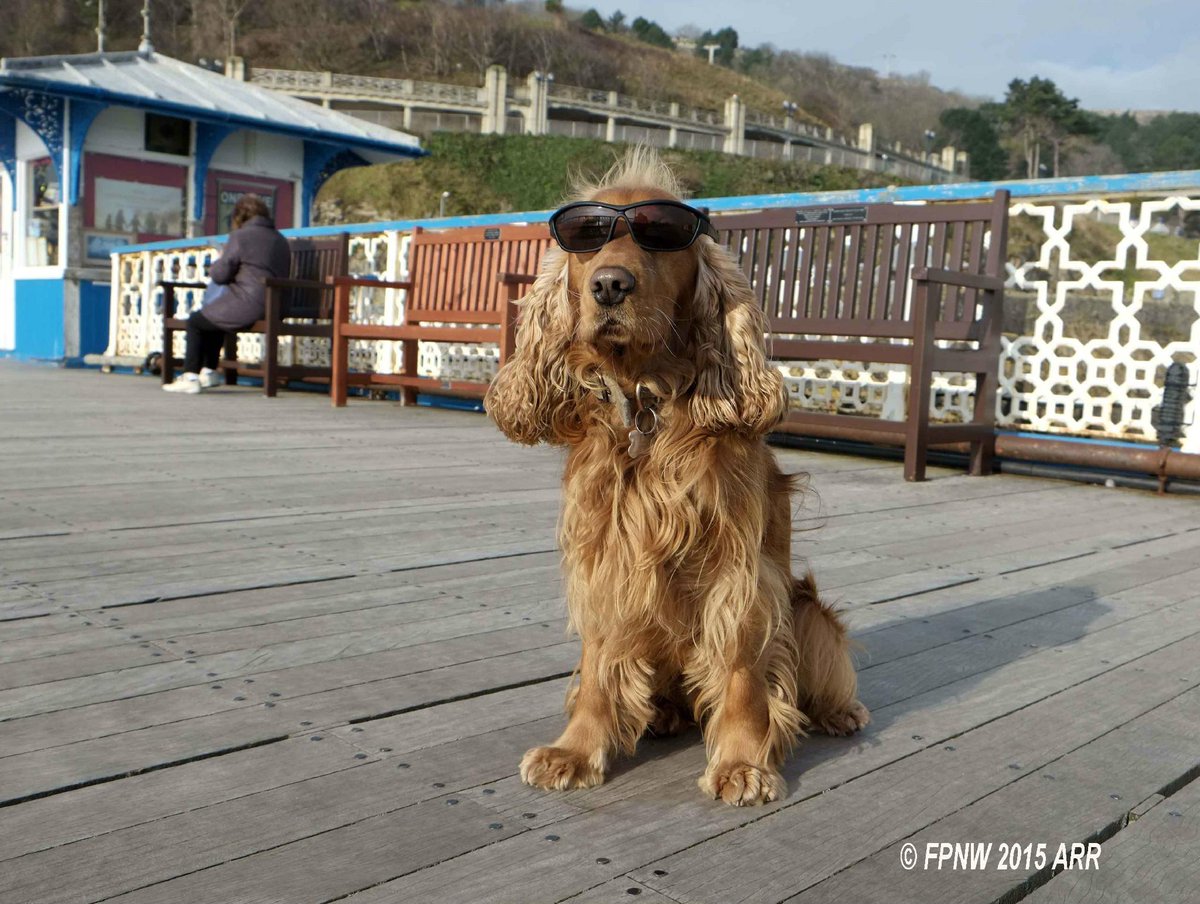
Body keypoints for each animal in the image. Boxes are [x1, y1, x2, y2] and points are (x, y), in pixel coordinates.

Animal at [484, 149, 868, 805]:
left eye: (659, 237)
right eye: (587, 239)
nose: (610, 284)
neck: (647, 399)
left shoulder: (737, 567)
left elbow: (739, 669)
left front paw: (741, 764)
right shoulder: (606, 554)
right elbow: (598, 667)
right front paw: (576, 750)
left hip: (807, 611)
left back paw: (839, 713)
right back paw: (661, 713)